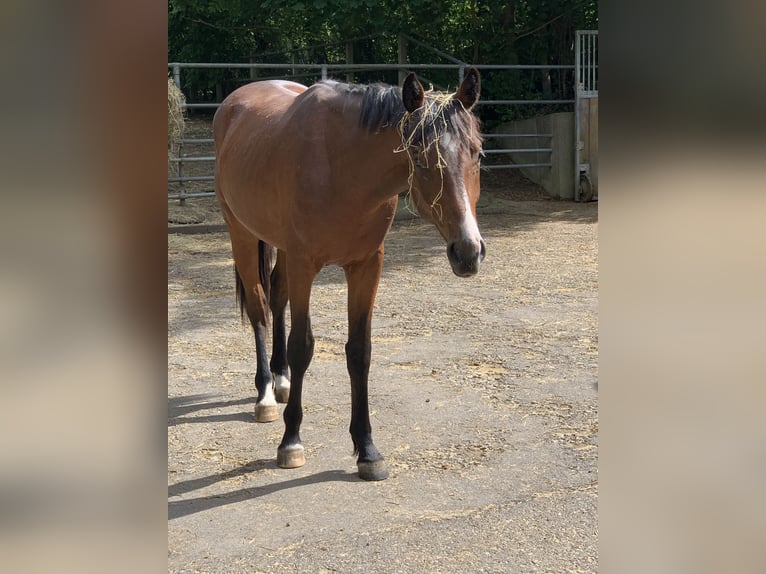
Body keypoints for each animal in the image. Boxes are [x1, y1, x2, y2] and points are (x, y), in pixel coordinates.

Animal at [213, 68, 484, 482]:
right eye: (418, 157)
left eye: (478, 153)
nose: (468, 251)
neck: (342, 168)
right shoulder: (305, 263)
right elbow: (303, 345)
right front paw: (291, 441)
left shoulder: (367, 265)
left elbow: (360, 351)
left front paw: (367, 449)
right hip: (241, 234)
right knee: (259, 307)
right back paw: (266, 395)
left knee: (276, 298)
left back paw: (281, 379)